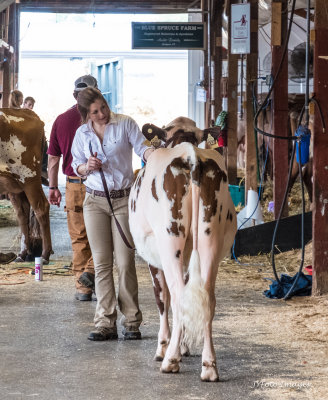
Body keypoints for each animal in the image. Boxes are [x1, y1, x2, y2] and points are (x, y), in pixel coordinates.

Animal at [0, 108, 52, 262]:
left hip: (29, 178)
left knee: (41, 207)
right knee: (22, 213)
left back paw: (45, 254)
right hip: (15, 185)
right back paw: (23, 253)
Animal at [128, 116, 236, 382]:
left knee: (176, 294)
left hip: (170, 239)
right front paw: (184, 346)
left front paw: (165, 346)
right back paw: (209, 366)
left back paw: (170, 360)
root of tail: (191, 155)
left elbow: (161, 297)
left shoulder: (154, 257)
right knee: (206, 296)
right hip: (211, 237)